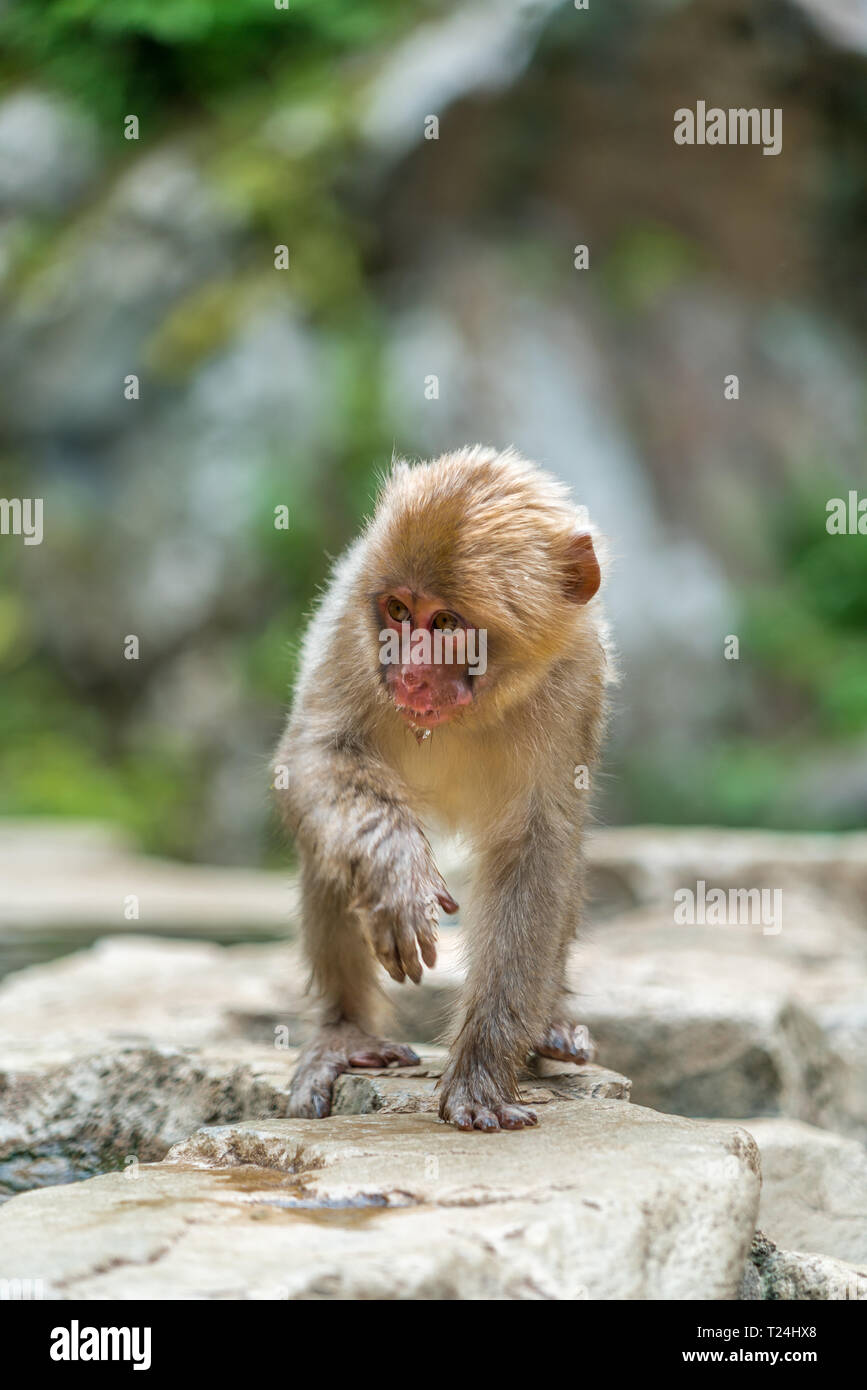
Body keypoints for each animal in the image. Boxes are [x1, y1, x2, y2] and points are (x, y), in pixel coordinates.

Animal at [276, 444, 608, 1128]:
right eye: (399, 612)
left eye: (448, 621)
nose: (406, 675)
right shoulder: (350, 627)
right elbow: (315, 756)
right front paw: (398, 876)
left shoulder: (575, 678)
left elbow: (537, 850)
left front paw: (483, 1069)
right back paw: (345, 1033)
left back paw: (548, 1027)